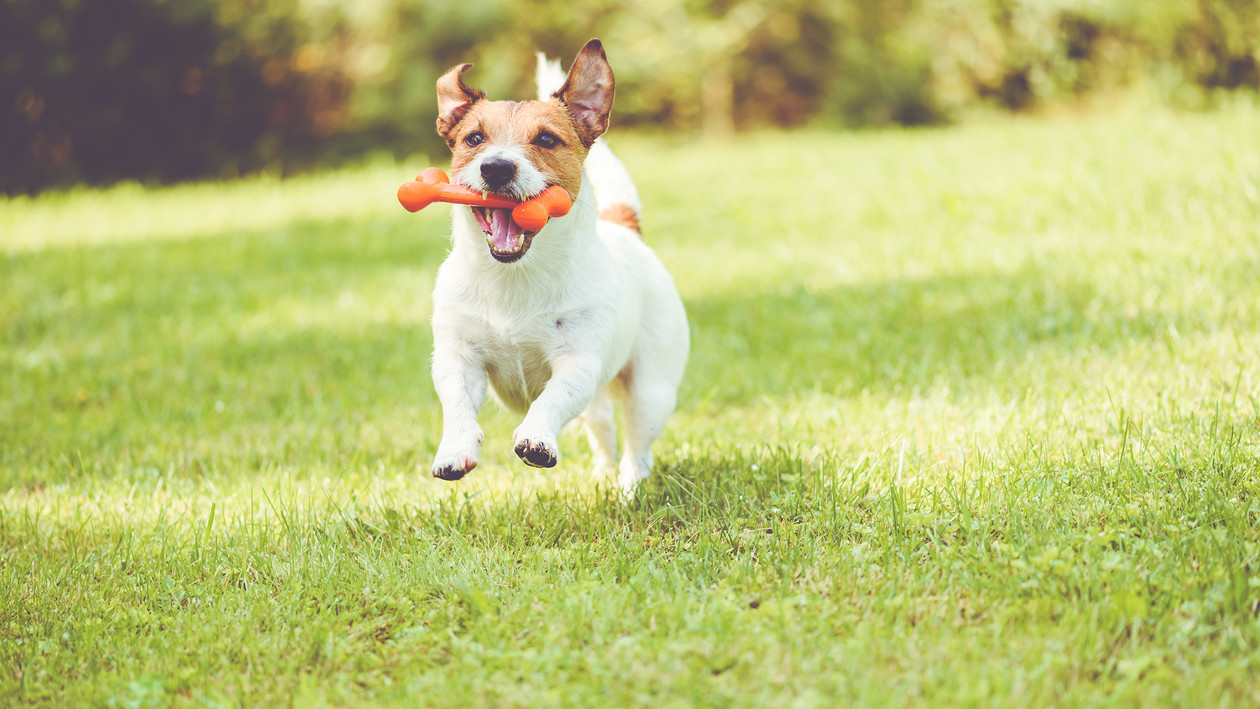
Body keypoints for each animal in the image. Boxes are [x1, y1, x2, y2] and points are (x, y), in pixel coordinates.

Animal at [430, 38, 690, 493]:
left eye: (547, 139)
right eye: (474, 138)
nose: (496, 167)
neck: (515, 278)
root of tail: (625, 228)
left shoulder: (579, 361)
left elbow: (553, 398)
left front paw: (536, 439)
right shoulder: (456, 353)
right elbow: (457, 400)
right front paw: (454, 450)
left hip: (651, 390)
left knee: (637, 446)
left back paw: (628, 489)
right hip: (599, 403)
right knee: (604, 431)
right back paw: (602, 477)